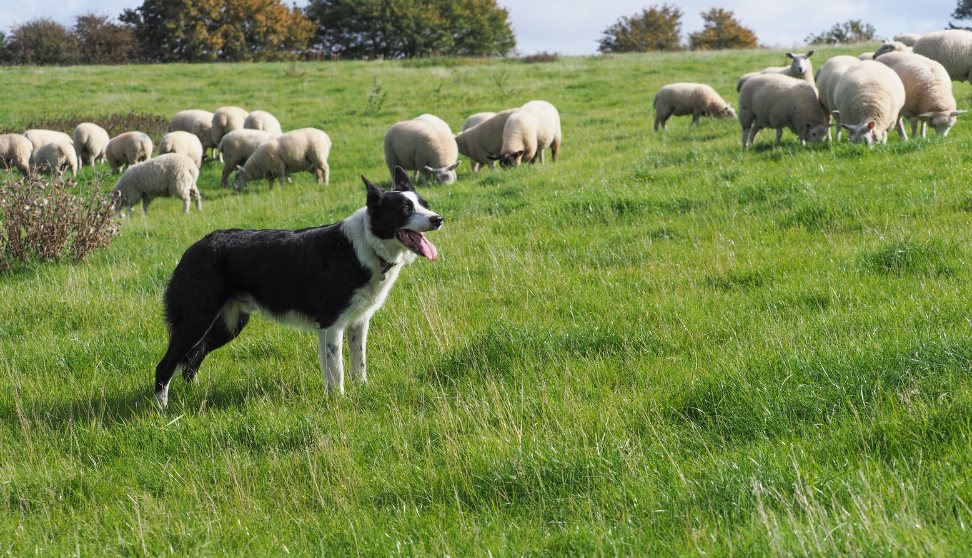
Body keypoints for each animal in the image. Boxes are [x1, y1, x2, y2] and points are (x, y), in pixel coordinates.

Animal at [154, 166, 442, 406]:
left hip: (227, 324)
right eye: (405, 209)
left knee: (192, 359)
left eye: (425, 205)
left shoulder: (358, 323)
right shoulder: (331, 324)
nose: (438, 219)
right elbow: (337, 370)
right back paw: (163, 411)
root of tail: (193, 249)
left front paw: (362, 391)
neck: (367, 247)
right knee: (166, 365)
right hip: (196, 320)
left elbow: (358, 363)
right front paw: (338, 402)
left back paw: (193, 394)